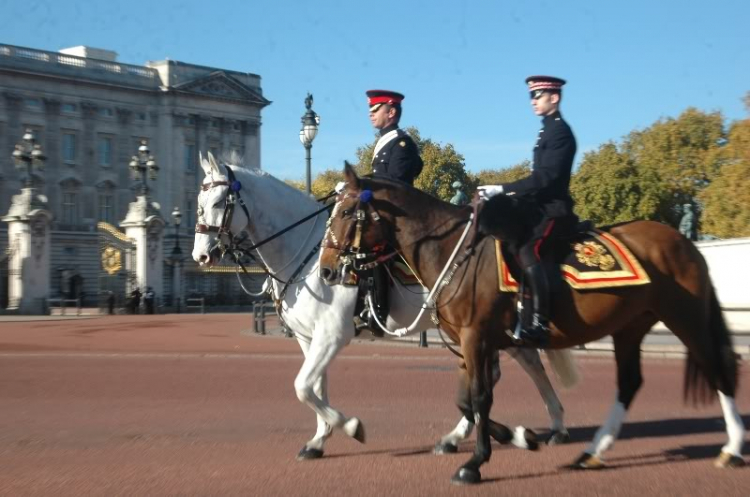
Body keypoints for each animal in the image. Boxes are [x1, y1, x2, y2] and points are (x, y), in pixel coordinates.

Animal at [191, 153, 580, 460]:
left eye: (218, 202)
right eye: (199, 201)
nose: (200, 256)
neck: (308, 257)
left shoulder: (332, 335)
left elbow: (303, 386)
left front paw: (350, 426)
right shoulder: (308, 338)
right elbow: (315, 388)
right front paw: (319, 439)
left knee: (518, 365)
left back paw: (547, 424)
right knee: (518, 363)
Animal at [318, 164, 748, 484]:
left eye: (345, 212)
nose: (326, 271)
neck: (453, 251)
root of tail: (682, 240)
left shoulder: (477, 338)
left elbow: (480, 398)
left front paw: (476, 462)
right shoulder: (470, 342)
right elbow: (468, 399)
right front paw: (519, 437)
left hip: (684, 317)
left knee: (717, 370)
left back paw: (731, 448)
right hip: (630, 326)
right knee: (628, 383)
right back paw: (592, 452)